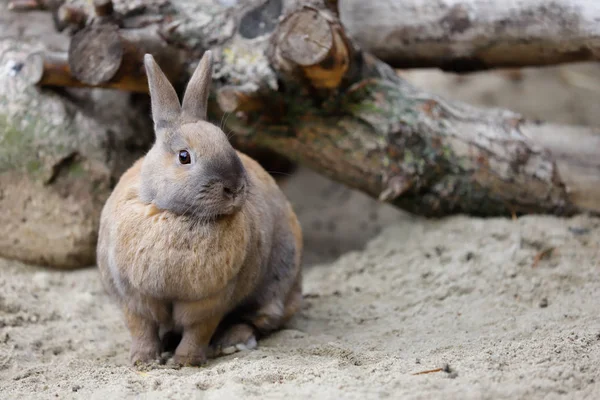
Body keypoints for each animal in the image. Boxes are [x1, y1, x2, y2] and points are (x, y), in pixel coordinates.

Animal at [99, 50, 304, 368]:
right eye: (184, 157)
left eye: (226, 144)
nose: (235, 187)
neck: (174, 214)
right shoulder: (134, 298)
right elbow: (142, 328)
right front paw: (143, 360)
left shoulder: (208, 302)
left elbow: (197, 330)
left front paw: (185, 361)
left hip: (276, 281)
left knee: (260, 319)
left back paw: (231, 342)